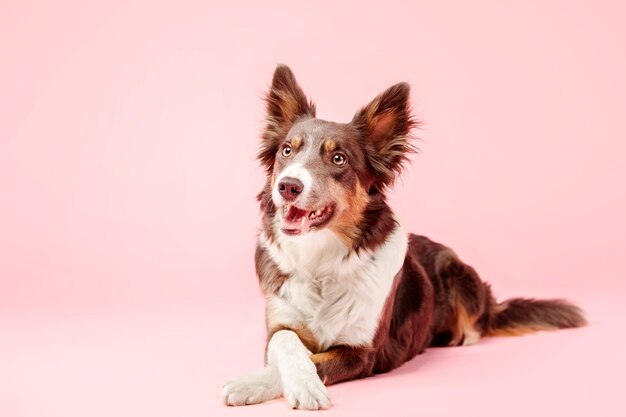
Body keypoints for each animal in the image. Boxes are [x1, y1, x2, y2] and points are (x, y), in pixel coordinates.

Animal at [221, 65, 584, 410]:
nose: (288, 186)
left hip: (458, 273)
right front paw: (257, 382)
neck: (320, 261)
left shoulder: (364, 352)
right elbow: (286, 344)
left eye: (338, 158)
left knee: (474, 325)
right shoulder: (279, 326)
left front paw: (282, 385)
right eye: (286, 151)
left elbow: (316, 361)